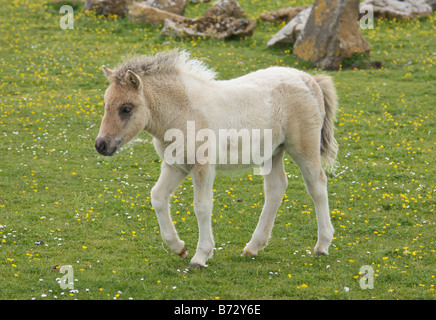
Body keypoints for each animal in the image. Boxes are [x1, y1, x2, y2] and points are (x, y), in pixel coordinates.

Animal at [95, 50, 338, 268]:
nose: (101, 145)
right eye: (106, 105)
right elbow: (157, 196)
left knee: (317, 185)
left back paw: (322, 245)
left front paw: (200, 256)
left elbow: (202, 206)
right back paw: (253, 247)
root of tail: (308, 79)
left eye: (126, 108)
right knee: (276, 187)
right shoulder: (176, 166)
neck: (183, 112)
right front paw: (179, 248)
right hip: (272, 152)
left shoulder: (203, 167)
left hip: (303, 148)